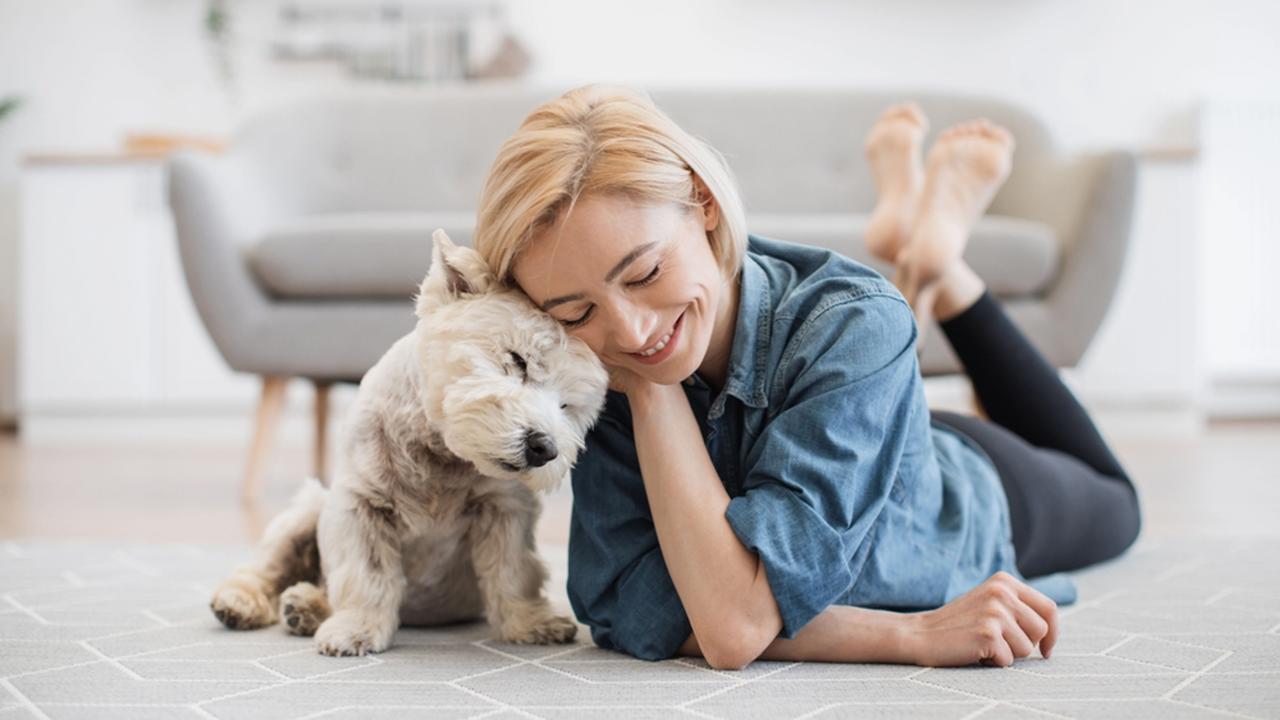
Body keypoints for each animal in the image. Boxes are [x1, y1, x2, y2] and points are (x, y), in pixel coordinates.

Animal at [209, 229, 609, 655]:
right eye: (518, 360)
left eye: (567, 406)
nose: (543, 448)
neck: (443, 454)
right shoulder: (359, 505)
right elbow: (366, 575)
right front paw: (356, 630)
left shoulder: (506, 510)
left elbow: (513, 570)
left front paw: (531, 623)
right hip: (307, 510)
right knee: (267, 567)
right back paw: (244, 602)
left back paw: (306, 607)